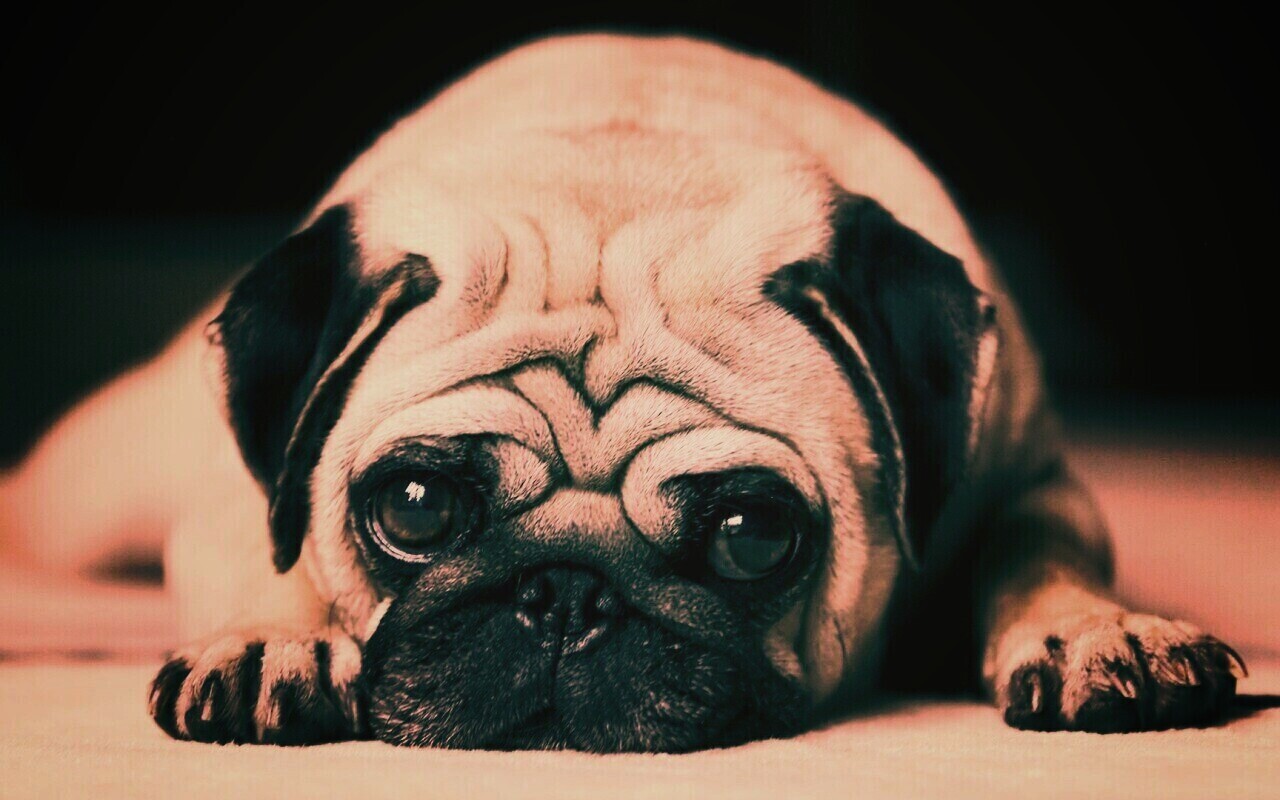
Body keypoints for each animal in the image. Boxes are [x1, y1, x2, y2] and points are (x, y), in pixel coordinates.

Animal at [1, 34, 1244, 751]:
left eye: (751, 533)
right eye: (413, 508)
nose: (564, 591)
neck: (630, 167)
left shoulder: (1026, 473)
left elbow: (1038, 547)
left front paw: (1097, 632)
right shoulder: (233, 500)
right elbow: (273, 550)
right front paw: (275, 638)